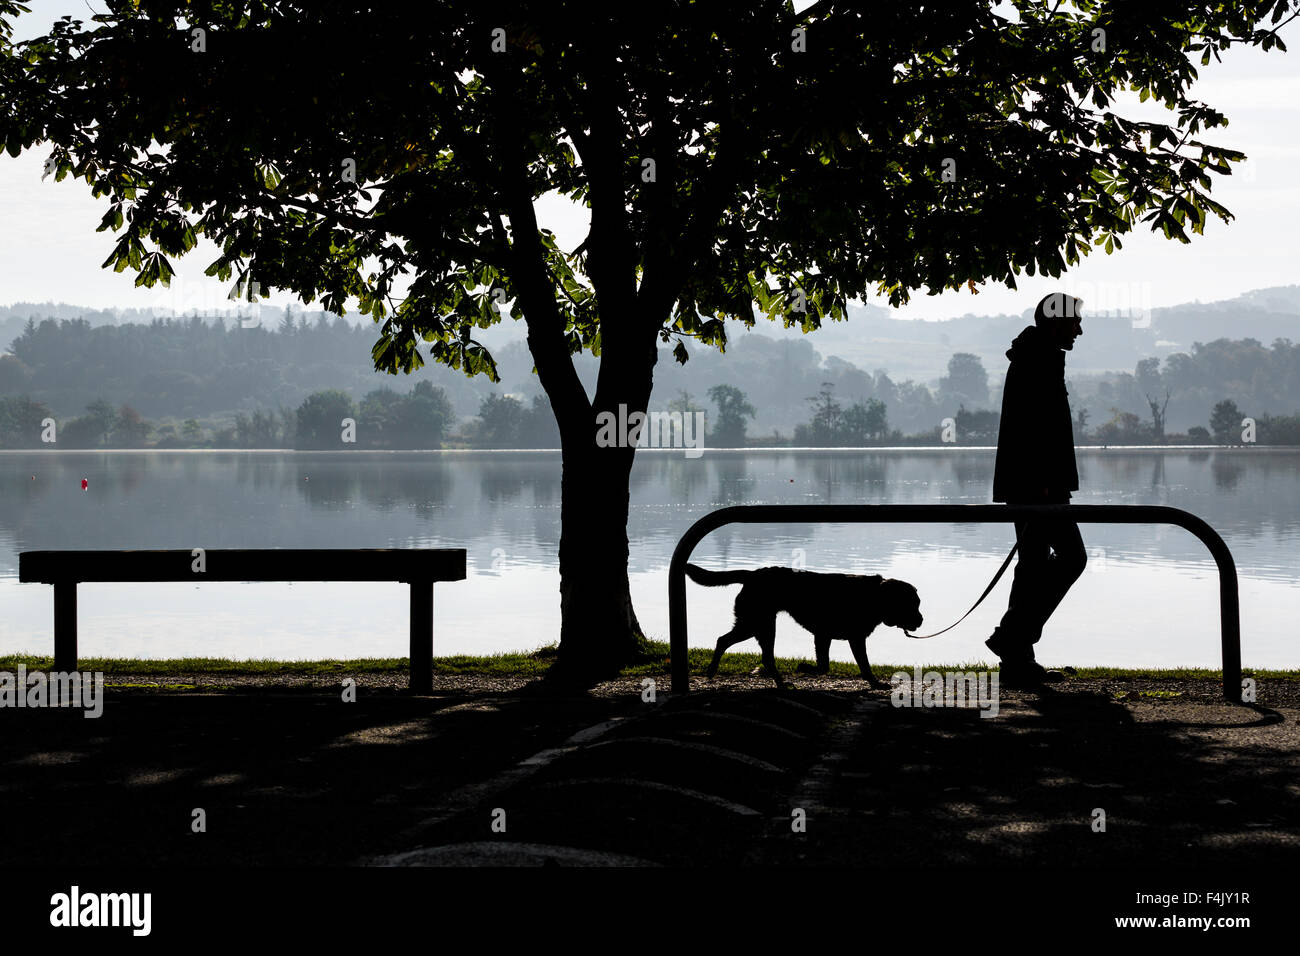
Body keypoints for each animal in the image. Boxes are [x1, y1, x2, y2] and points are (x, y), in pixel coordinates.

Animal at [681, 561, 925, 686]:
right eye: (912, 604)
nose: (921, 620)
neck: (875, 597)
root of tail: (752, 574)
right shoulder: (842, 636)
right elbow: (856, 665)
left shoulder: (827, 636)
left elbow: (831, 665)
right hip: (757, 623)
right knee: (734, 644)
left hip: (756, 624)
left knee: (740, 647)